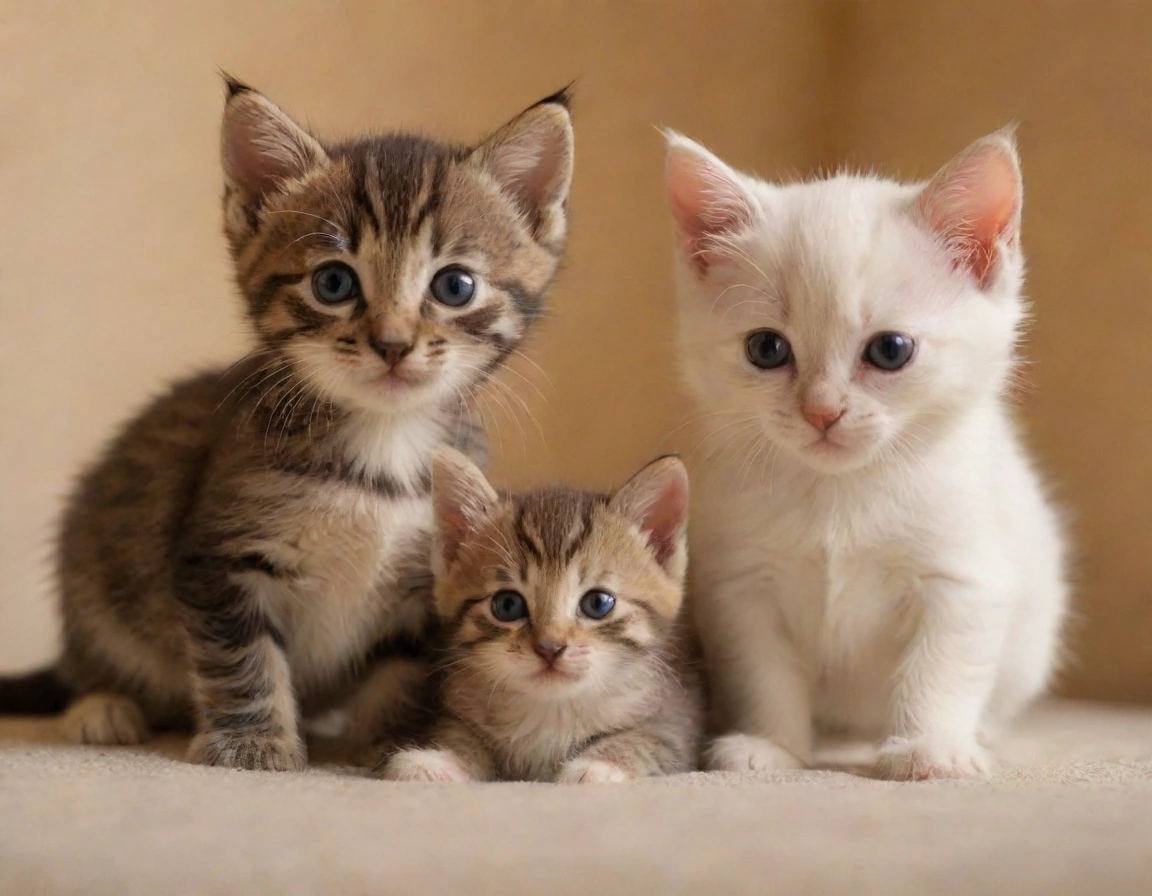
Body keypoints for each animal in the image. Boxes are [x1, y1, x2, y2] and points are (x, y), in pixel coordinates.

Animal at [0, 78, 573, 773]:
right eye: (333, 282)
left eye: (456, 286)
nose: (392, 344)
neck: (382, 443)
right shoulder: (219, 560)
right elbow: (244, 658)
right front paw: (252, 742)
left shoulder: (430, 585)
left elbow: (403, 672)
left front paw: (392, 742)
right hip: (94, 562)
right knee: (88, 659)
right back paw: (102, 707)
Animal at [382, 451, 700, 778]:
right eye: (507, 605)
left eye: (598, 603)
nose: (550, 647)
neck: (552, 709)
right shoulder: (452, 712)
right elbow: (456, 733)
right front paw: (441, 759)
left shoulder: (677, 717)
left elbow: (647, 740)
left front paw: (598, 766)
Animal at [668, 128, 1069, 778]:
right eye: (765, 348)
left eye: (890, 350)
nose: (822, 410)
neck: (840, 494)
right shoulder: (741, 585)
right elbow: (762, 672)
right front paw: (769, 746)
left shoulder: (965, 578)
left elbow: (940, 669)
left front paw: (930, 747)